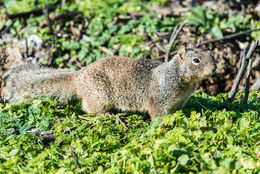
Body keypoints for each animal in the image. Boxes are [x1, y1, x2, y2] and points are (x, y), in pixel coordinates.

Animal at [2, 46, 215, 119]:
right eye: (196, 60)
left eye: (210, 54)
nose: (213, 69)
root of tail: (77, 77)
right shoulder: (159, 97)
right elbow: (157, 113)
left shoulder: (179, 101)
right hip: (100, 94)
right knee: (89, 108)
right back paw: (107, 114)